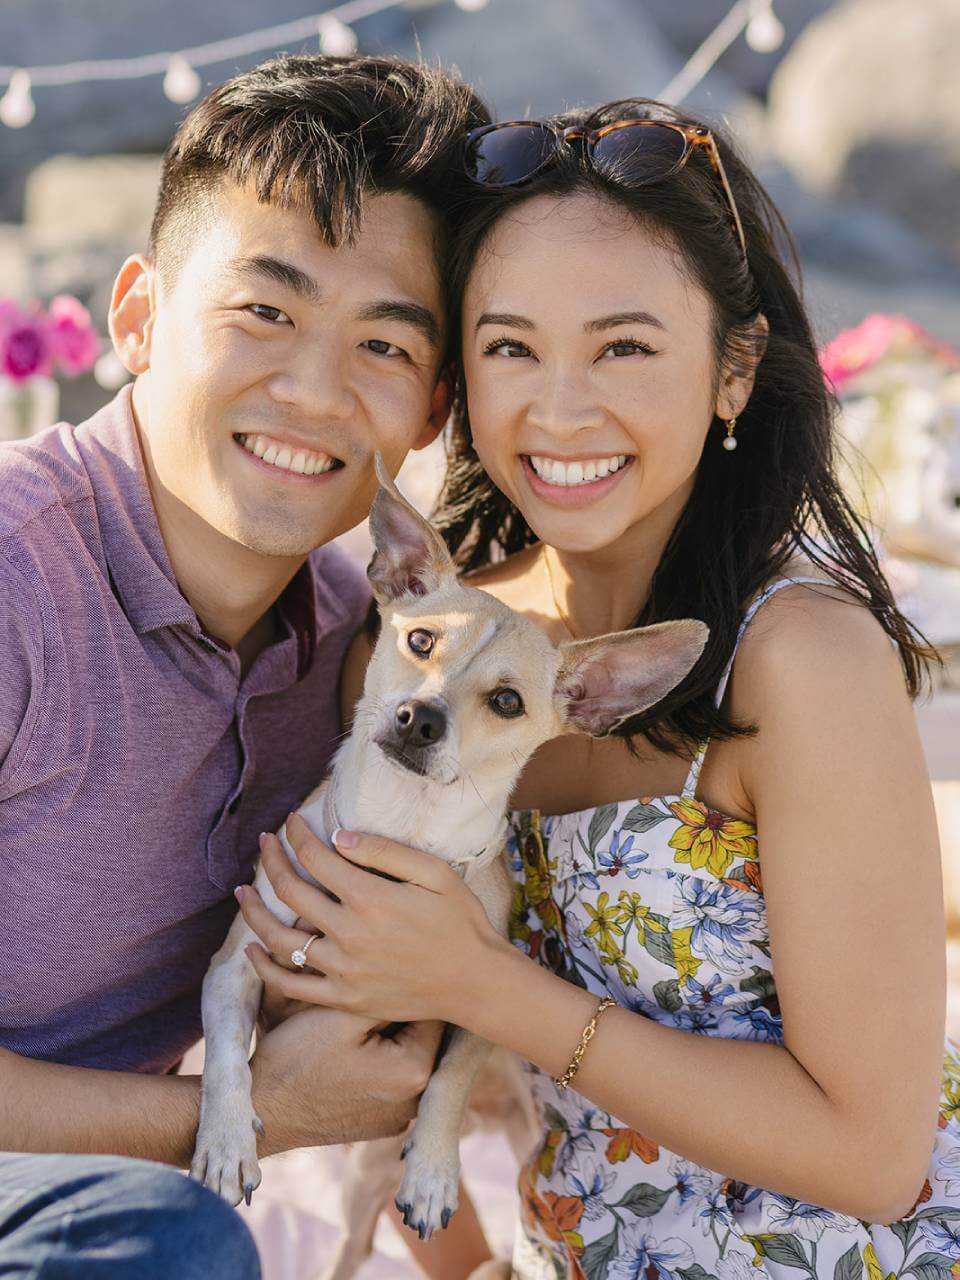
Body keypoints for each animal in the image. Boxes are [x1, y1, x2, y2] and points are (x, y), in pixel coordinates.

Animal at [192, 455, 711, 1254]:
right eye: (421, 642)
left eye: (506, 703)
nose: (420, 718)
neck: (398, 833)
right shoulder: (232, 971)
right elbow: (225, 1057)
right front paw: (224, 1143)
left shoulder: (478, 1002)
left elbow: (450, 1079)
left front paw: (433, 1172)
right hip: (358, 1184)